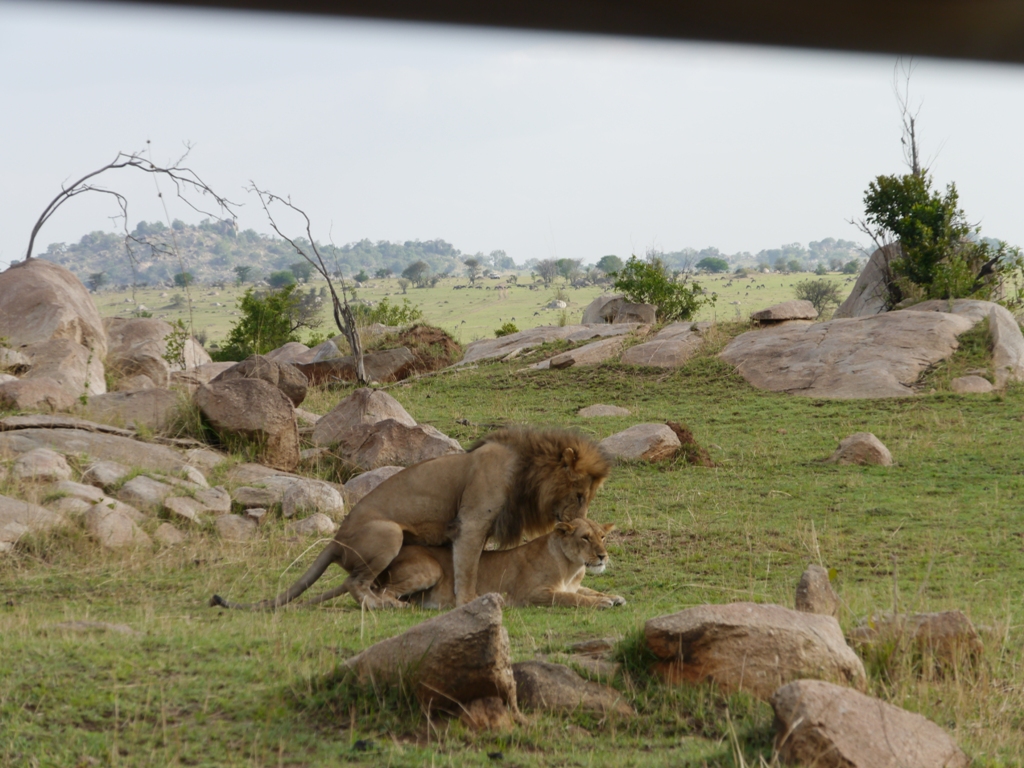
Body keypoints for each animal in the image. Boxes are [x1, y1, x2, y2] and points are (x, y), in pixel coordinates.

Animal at [303, 520, 626, 610]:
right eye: (585, 538)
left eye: (602, 536)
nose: (603, 556)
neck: (572, 567)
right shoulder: (532, 594)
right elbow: (572, 598)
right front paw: (602, 603)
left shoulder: (573, 583)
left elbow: (586, 592)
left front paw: (614, 597)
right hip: (430, 569)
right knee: (383, 593)